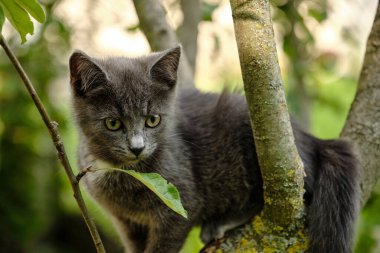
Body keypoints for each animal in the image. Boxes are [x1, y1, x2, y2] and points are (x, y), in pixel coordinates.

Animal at [69, 46, 360, 253]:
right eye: (113, 123)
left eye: (153, 120)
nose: (137, 147)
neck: (122, 171)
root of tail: (312, 139)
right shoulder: (126, 222)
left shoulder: (181, 201)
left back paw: (220, 222)